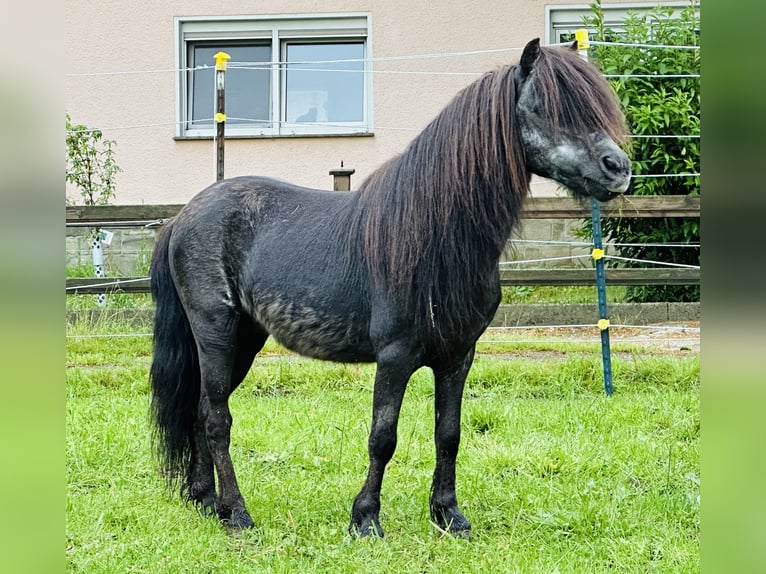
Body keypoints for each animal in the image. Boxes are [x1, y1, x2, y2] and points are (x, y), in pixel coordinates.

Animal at [150, 40, 632, 540]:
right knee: (217, 418)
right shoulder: (395, 356)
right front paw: (365, 518)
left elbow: (449, 434)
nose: (618, 169)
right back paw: (238, 513)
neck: (436, 239)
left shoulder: (458, 357)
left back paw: (208, 501)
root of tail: (182, 217)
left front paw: (448, 514)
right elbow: (383, 438)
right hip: (217, 334)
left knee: (201, 410)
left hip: (244, 339)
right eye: (544, 108)